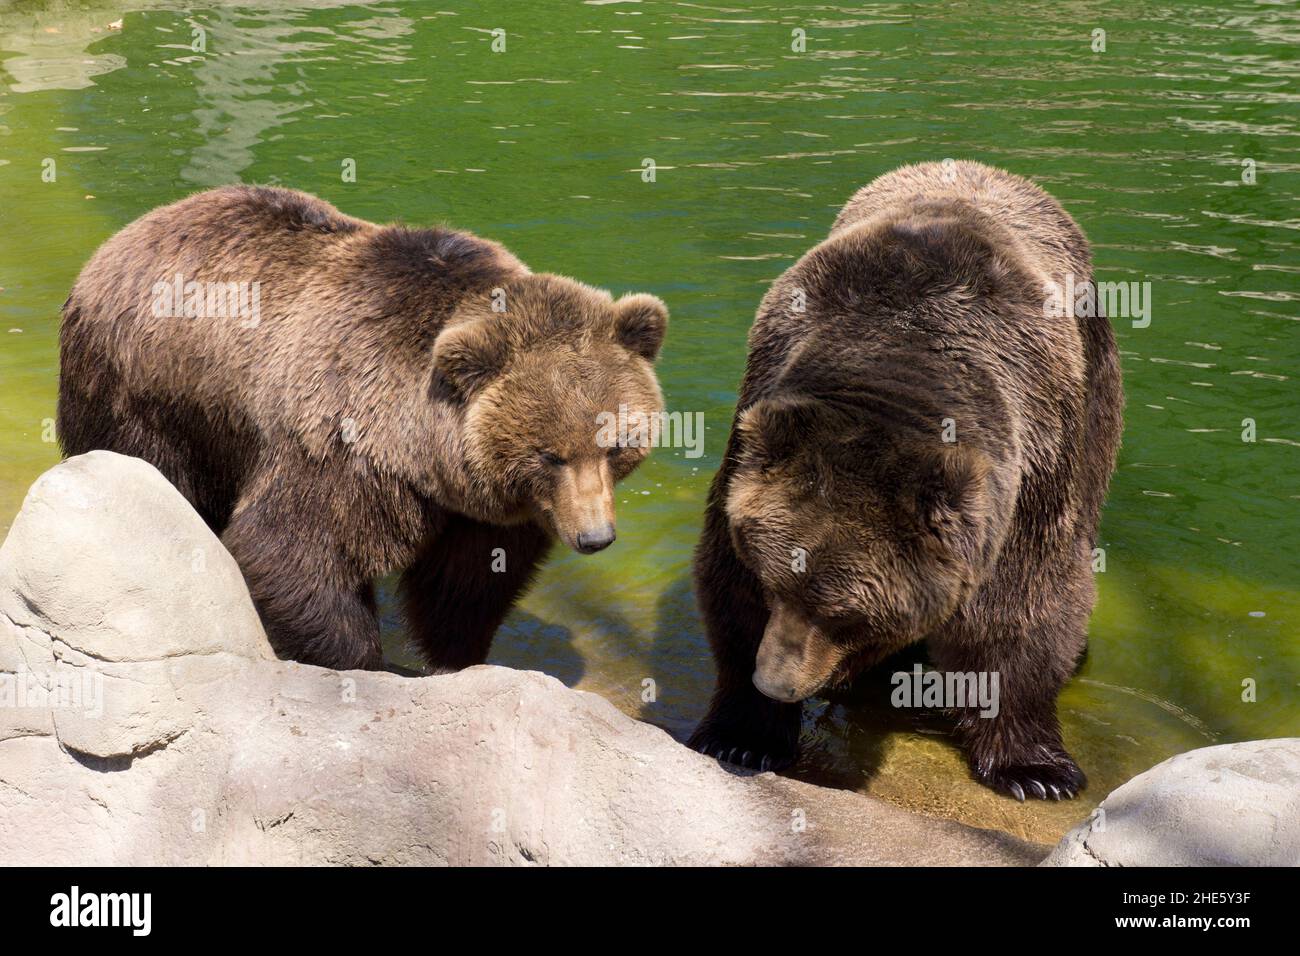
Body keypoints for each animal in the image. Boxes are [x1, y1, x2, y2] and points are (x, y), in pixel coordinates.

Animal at [58, 184, 670, 671]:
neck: (427, 451)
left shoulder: (481, 509)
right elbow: (292, 549)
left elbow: (469, 582)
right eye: (550, 454)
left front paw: (457, 657)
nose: (595, 537)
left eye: (616, 445)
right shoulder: (344, 445)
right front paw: (364, 662)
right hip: (149, 391)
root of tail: (133, 230)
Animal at [686, 162, 1123, 801]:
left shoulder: (1033, 460)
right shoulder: (762, 403)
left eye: (844, 613)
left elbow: (1024, 602)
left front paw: (1035, 770)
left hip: (1096, 397)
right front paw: (742, 734)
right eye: (772, 586)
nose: (776, 682)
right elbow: (726, 585)